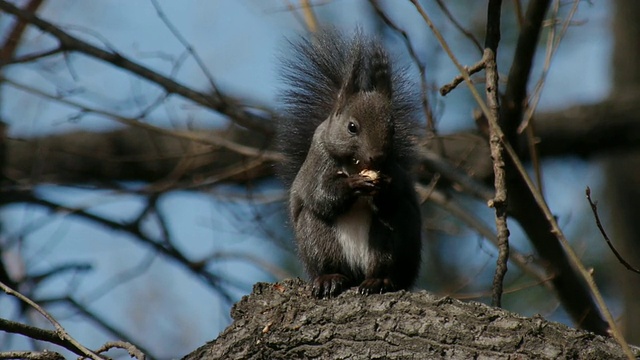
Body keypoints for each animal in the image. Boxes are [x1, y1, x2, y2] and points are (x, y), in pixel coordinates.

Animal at [278, 28, 422, 298]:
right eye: (352, 127)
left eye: (393, 129)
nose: (377, 157)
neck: (355, 163)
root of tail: (357, 273)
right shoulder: (318, 159)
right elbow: (320, 194)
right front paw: (353, 184)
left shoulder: (394, 169)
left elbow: (393, 195)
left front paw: (384, 186)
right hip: (317, 237)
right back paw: (330, 278)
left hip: (395, 236)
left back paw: (379, 281)